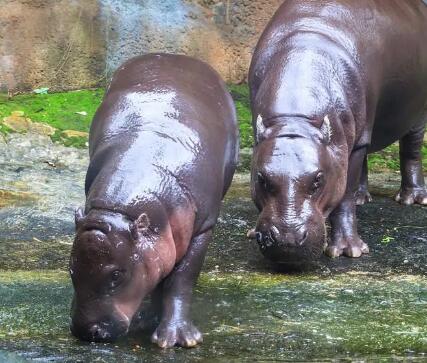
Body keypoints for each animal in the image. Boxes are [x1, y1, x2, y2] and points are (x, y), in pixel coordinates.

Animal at [68, 54, 239, 350]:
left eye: (117, 275)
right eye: (70, 269)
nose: (85, 330)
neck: (120, 212)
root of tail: (174, 56)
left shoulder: (203, 228)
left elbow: (180, 280)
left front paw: (178, 339)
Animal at [249, 0, 426, 268]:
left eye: (318, 179)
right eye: (261, 179)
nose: (288, 241)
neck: (295, 121)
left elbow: (344, 196)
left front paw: (348, 250)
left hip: (416, 114)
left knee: (411, 150)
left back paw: (411, 199)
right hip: (359, 130)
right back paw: (363, 198)